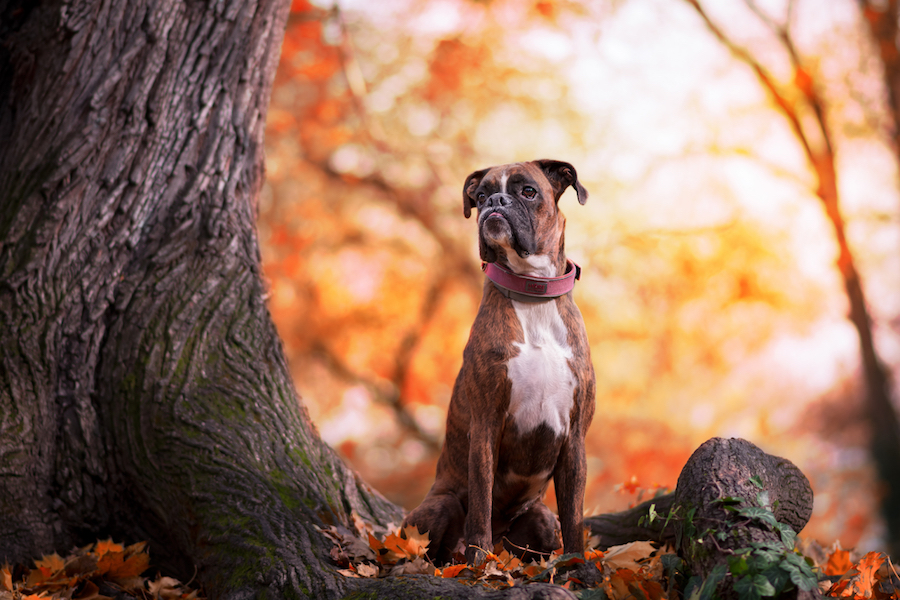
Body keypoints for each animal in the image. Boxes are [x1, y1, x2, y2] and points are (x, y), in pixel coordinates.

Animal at [404, 158, 596, 564]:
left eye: (528, 191)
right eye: (479, 196)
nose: (494, 201)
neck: (533, 295)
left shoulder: (575, 436)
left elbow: (574, 514)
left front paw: (577, 565)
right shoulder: (485, 425)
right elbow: (481, 503)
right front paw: (480, 563)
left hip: (542, 519)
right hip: (439, 507)